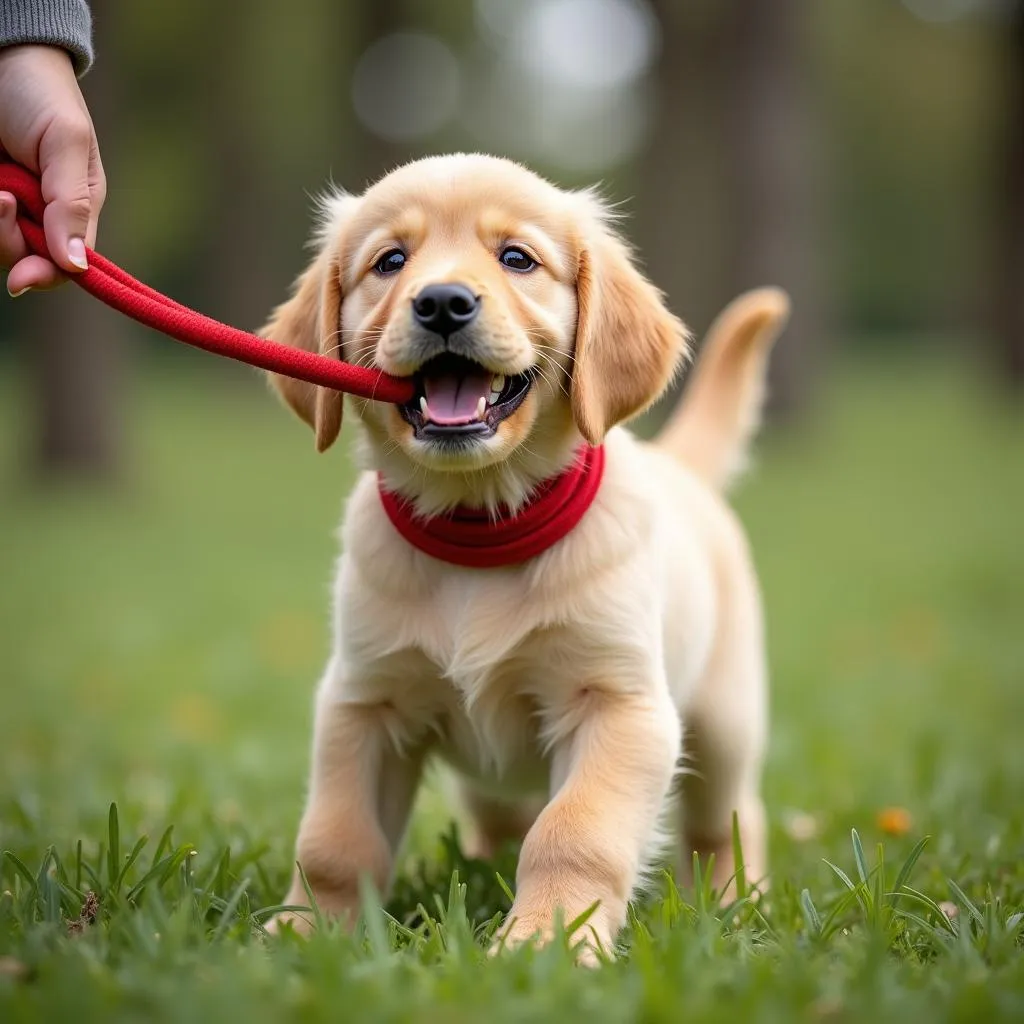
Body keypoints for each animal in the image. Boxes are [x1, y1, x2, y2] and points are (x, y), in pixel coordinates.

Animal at [260, 153, 786, 958]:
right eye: (390, 261)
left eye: (517, 259)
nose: (442, 303)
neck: (482, 524)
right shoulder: (364, 701)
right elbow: (334, 840)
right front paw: (306, 934)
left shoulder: (620, 705)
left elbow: (573, 834)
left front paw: (548, 944)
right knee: (499, 816)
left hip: (724, 721)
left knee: (726, 821)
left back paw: (734, 900)